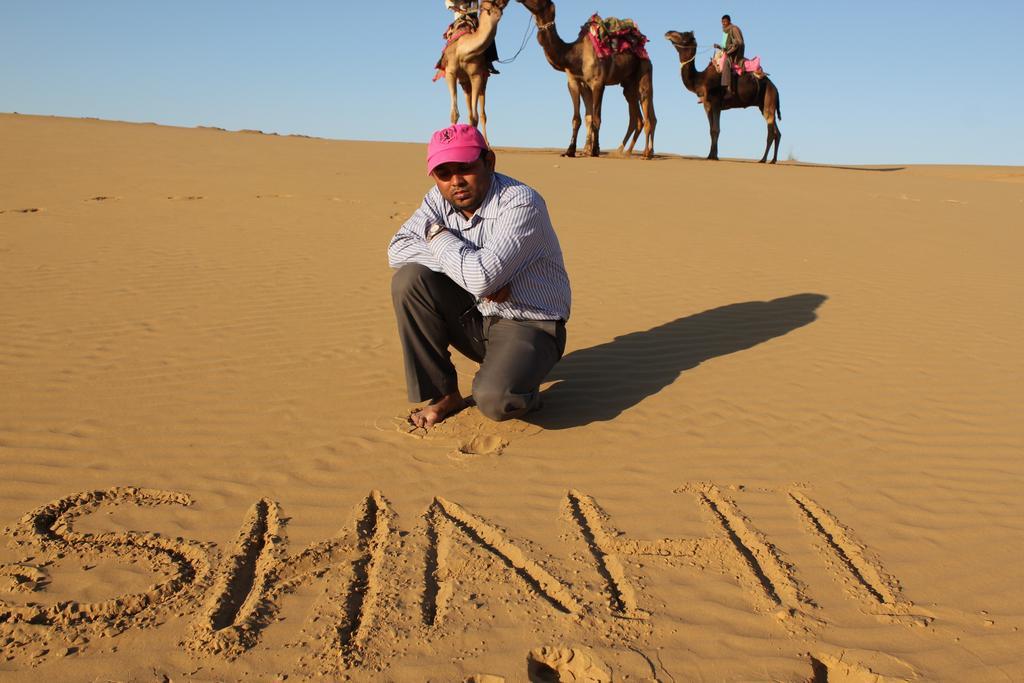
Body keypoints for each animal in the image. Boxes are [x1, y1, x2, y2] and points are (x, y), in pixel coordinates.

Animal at [440, 0, 512, 145]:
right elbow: (455, 113)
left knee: (482, 113)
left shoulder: (476, 75)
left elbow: (475, 117)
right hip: (464, 82)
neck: (463, 49)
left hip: (483, 80)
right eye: (492, 4)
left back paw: (487, 143)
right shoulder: (451, 73)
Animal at [520, 0, 655, 159]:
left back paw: (646, 153)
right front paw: (571, 150)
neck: (574, 55)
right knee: (637, 118)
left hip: (644, 75)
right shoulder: (576, 83)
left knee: (648, 115)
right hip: (628, 86)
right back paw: (623, 152)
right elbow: (581, 118)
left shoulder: (598, 83)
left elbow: (596, 118)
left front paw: (595, 150)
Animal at [663, 30, 782, 163]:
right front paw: (710, 155)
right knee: (777, 133)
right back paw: (773, 160)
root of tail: (775, 89)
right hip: (764, 106)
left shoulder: (716, 103)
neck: (700, 79)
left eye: (684, 36)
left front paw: (714, 157)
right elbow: (711, 130)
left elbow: (716, 129)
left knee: (771, 132)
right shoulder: (707, 105)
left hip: (769, 101)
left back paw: (763, 159)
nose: (668, 33)